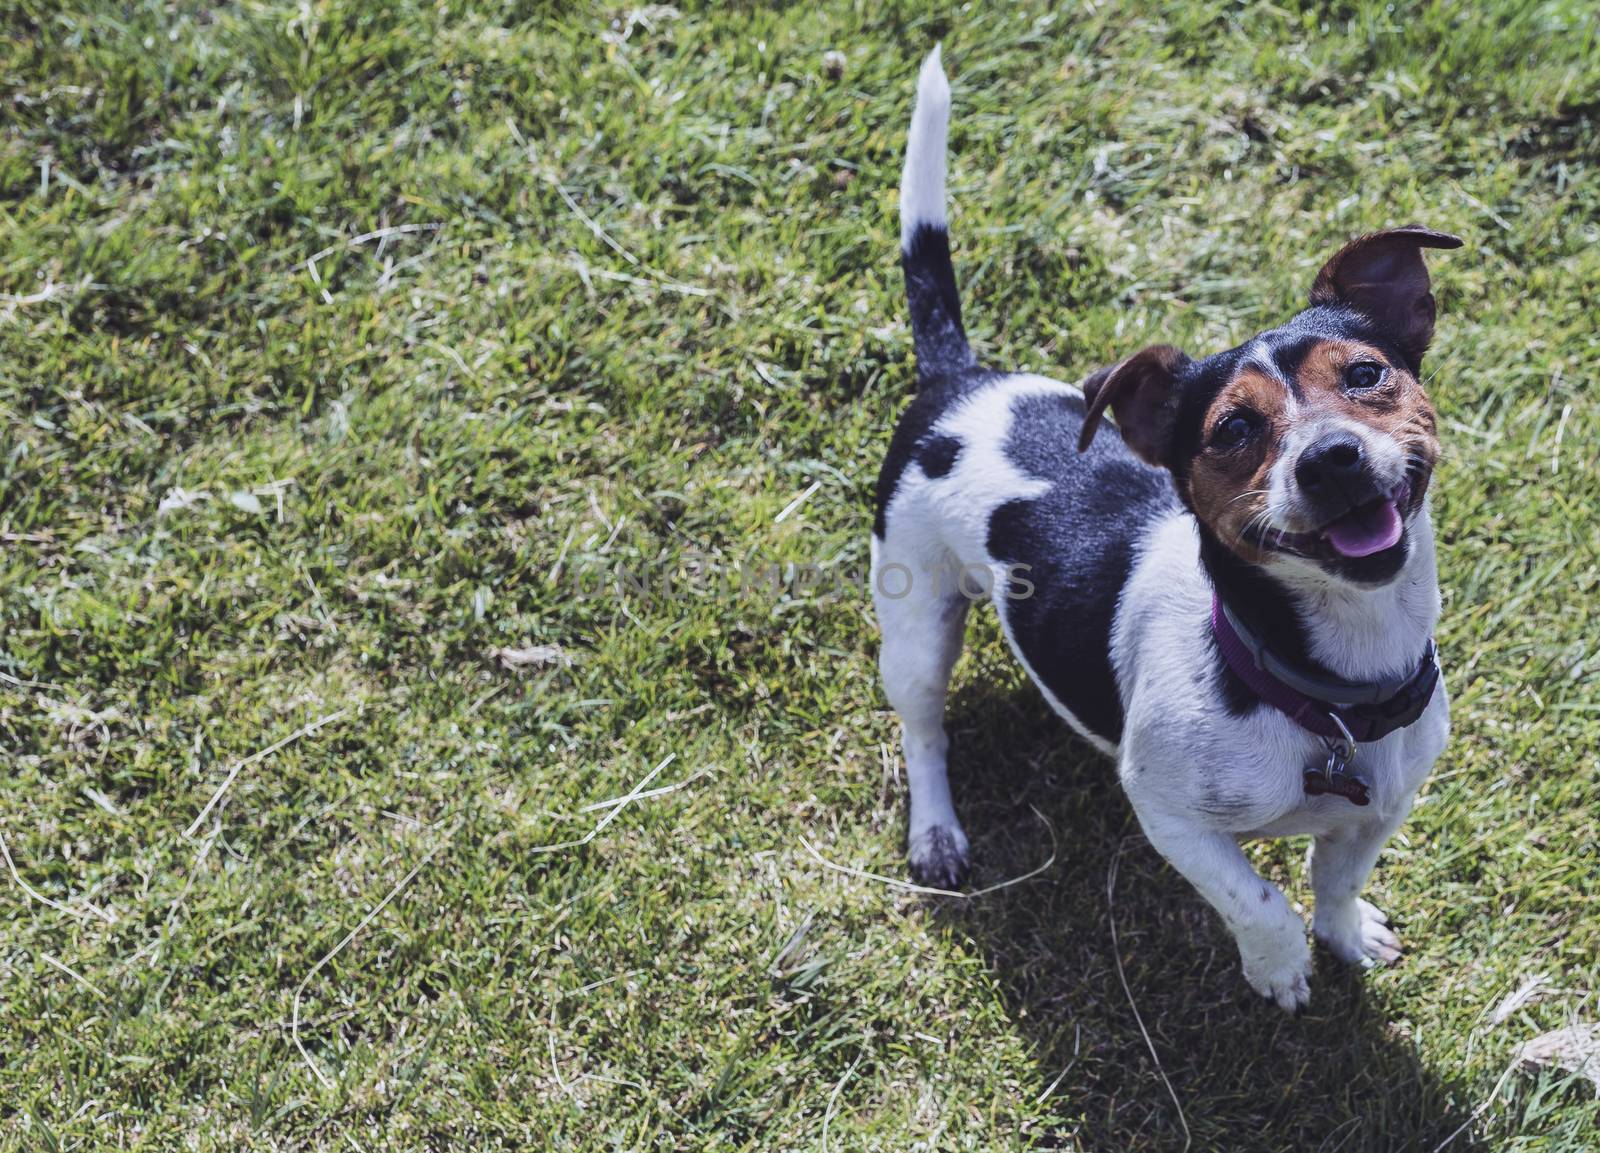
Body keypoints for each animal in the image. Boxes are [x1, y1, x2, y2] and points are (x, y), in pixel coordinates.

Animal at [883, 51, 1459, 1010]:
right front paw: (1280, 967)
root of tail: (961, 379)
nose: (1331, 459)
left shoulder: (1386, 803)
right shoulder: (1168, 814)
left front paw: (1344, 933)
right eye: (1232, 430)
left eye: (1365, 374)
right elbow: (1257, 896)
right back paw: (936, 830)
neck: (1327, 692)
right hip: (916, 617)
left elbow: (1336, 875)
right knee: (924, 730)